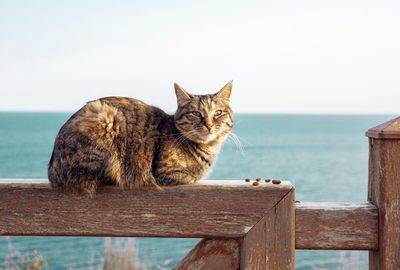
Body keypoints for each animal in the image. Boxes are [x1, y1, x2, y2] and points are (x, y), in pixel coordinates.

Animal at [48, 81, 233, 195]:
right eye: (195, 113)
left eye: (218, 113)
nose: (209, 124)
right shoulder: (165, 172)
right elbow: (192, 177)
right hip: (106, 118)